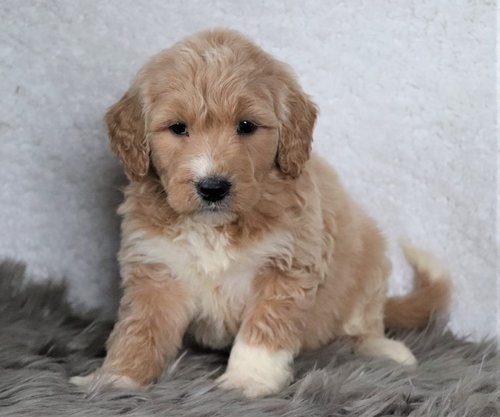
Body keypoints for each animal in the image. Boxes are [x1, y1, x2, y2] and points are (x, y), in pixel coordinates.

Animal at [72, 28, 452, 396]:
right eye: (178, 128)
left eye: (246, 126)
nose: (213, 187)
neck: (214, 227)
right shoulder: (156, 270)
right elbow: (139, 331)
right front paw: (115, 379)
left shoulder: (285, 268)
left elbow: (262, 332)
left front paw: (247, 380)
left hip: (369, 267)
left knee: (364, 325)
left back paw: (385, 349)